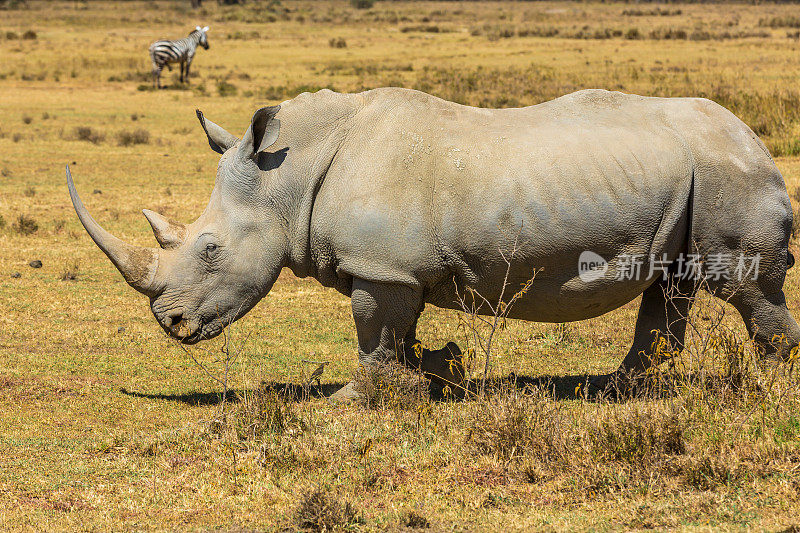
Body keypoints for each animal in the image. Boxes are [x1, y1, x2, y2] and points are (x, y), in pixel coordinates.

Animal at [69, 87, 800, 396]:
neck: (289, 172)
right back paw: (619, 389)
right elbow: (400, 328)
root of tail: (755, 138)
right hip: (694, 175)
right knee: (670, 285)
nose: (171, 324)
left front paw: (351, 401)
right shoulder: (397, 266)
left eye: (211, 250)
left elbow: (372, 329)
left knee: (742, 286)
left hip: (728, 172)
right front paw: (426, 376)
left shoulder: (381, 266)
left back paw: (766, 386)